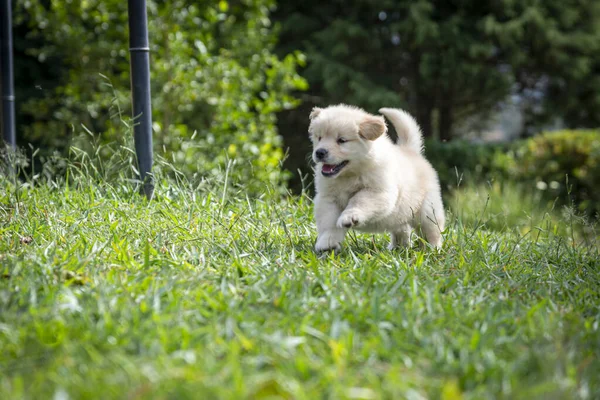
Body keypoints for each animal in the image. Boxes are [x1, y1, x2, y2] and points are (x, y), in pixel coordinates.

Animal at [310, 104, 446, 252]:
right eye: (319, 138)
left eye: (342, 140)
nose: (319, 152)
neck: (349, 175)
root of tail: (410, 150)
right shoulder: (328, 198)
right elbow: (328, 222)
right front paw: (327, 243)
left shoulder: (378, 192)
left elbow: (359, 200)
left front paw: (350, 216)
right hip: (401, 213)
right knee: (402, 228)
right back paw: (398, 247)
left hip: (427, 211)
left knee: (431, 230)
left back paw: (432, 249)